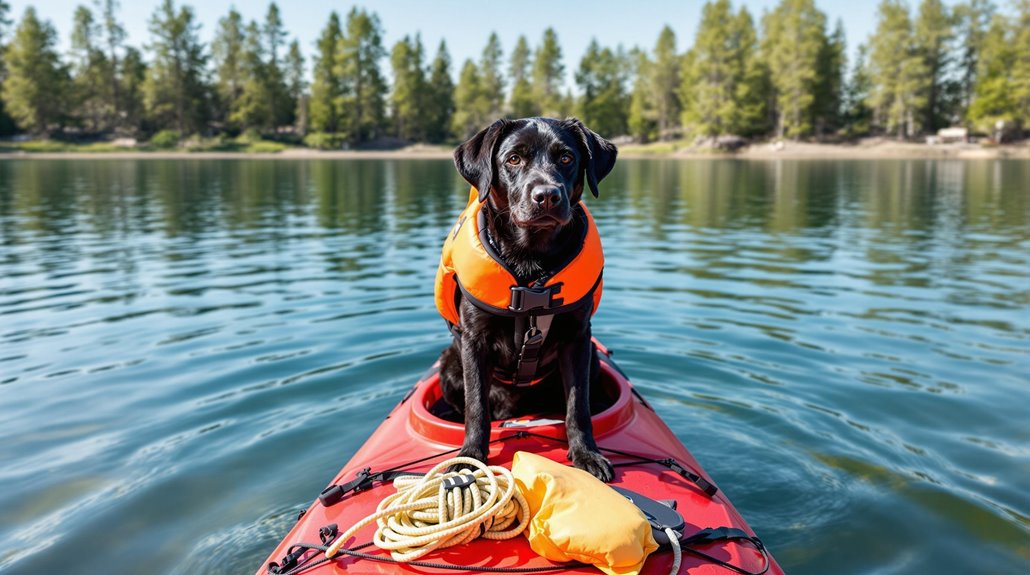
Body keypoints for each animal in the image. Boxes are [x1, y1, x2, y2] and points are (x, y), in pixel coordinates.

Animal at [436, 118, 613, 482]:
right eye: (514, 159)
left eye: (566, 158)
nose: (546, 196)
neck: (531, 262)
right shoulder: (474, 340)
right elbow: (477, 408)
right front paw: (469, 458)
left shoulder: (577, 338)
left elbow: (578, 406)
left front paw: (586, 454)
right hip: (449, 364)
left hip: (593, 359)